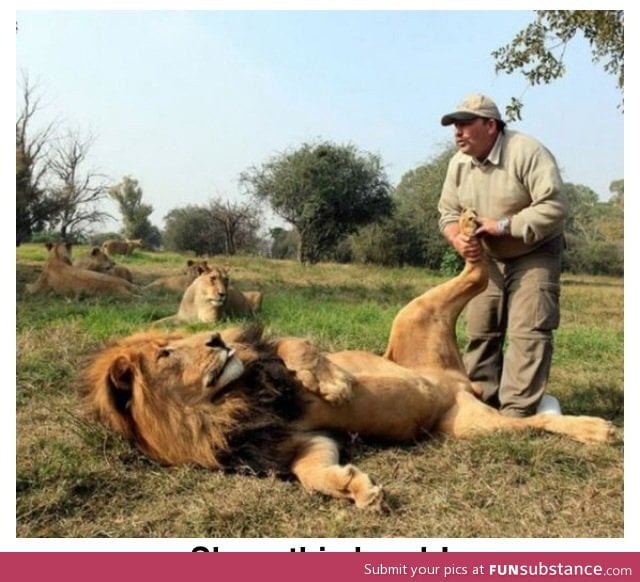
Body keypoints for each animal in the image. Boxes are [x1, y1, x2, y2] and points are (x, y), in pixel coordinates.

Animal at [80, 212, 616, 512]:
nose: (215, 338)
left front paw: (335, 385)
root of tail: (457, 383)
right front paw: (357, 489)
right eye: (167, 353)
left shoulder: (270, 355)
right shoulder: (298, 443)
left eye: (176, 339)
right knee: (529, 421)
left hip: (413, 315)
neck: (222, 406)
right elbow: (312, 473)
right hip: (469, 425)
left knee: (476, 271)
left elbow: (297, 348)